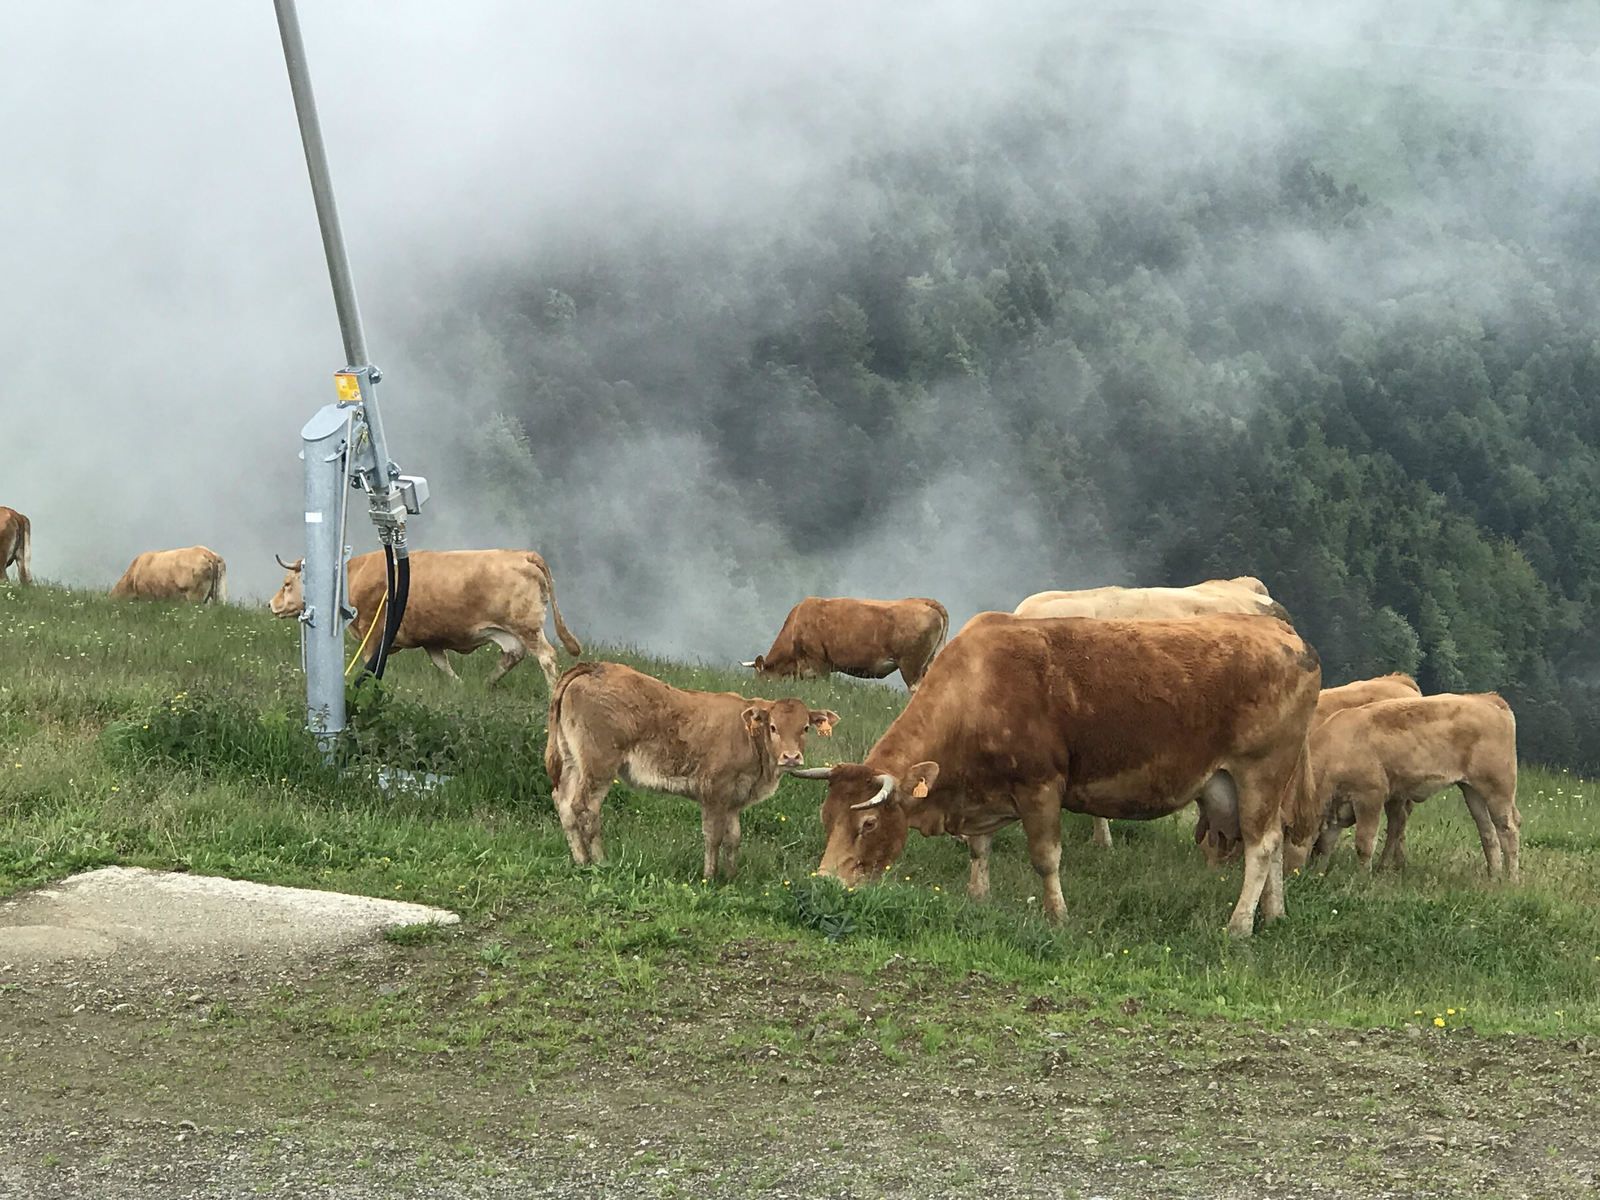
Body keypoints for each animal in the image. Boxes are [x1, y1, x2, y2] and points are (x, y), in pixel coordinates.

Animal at [269, 548, 581, 688]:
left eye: (287, 583)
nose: (271, 604)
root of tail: (524, 554)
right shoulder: (430, 638)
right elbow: (442, 664)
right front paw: (458, 685)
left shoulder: (372, 632)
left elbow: (371, 664)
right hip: (508, 631)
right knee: (512, 655)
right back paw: (486, 684)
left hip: (526, 627)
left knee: (547, 656)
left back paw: (551, 690)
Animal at [544, 660, 841, 879]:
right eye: (773, 727)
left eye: (805, 728)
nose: (791, 757)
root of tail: (595, 666)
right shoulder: (714, 792)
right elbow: (713, 837)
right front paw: (709, 877)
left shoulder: (734, 799)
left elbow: (733, 838)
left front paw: (731, 877)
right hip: (598, 766)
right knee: (585, 808)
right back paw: (600, 862)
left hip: (572, 761)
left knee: (564, 802)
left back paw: (580, 860)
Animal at [790, 611, 1321, 938]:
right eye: (825, 818)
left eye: (868, 824)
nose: (823, 883)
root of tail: (1288, 635)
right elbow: (979, 849)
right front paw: (978, 898)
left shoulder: (1041, 786)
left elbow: (1045, 858)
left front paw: (1058, 916)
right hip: (1238, 784)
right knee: (1274, 839)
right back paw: (1274, 914)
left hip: (1262, 770)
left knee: (1261, 847)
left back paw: (1239, 926)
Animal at [1291, 693, 1519, 879]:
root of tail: (1488, 699)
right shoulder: (1337, 807)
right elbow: (1325, 844)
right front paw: (1319, 874)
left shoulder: (1369, 797)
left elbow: (1364, 843)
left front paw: (1362, 879)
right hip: (1472, 791)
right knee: (1488, 832)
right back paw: (1493, 878)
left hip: (1498, 790)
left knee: (1508, 828)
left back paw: (1510, 880)